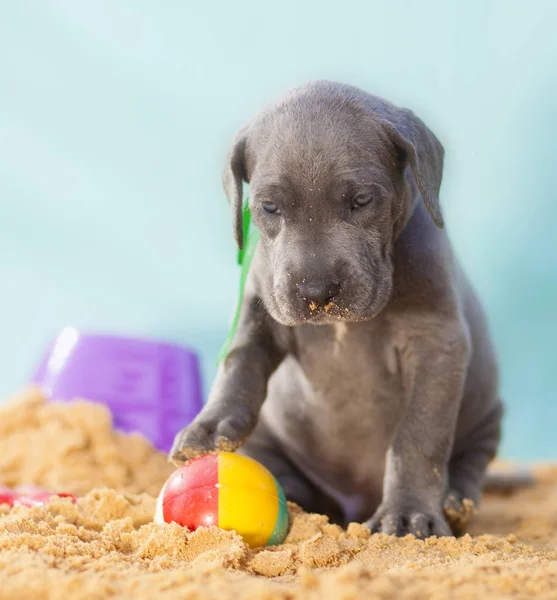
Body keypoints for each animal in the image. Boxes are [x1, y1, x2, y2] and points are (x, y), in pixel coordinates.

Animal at [172, 81, 516, 540]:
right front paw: (209, 426)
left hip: (486, 415)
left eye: (362, 199)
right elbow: (239, 360)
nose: (316, 291)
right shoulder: (262, 307)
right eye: (269, 207)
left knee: (470, 460)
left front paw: (409, 514)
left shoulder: (437, 343)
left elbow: (418, 434)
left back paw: (454, 501)